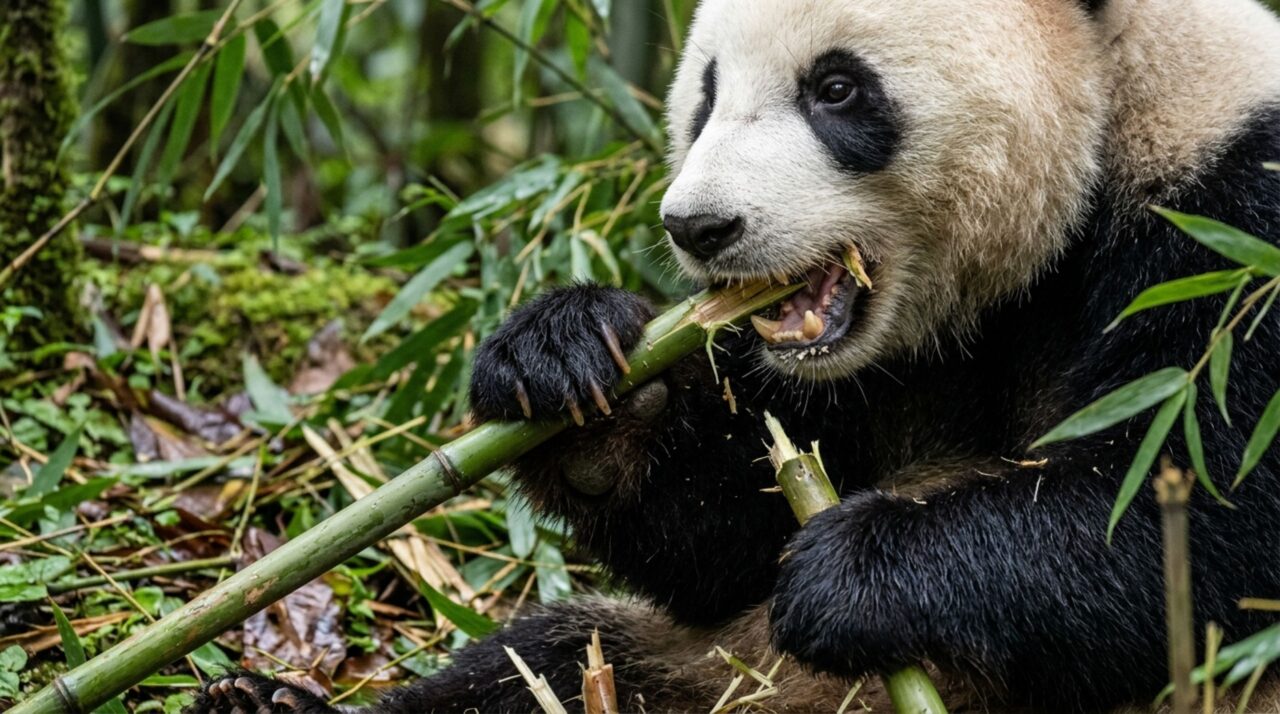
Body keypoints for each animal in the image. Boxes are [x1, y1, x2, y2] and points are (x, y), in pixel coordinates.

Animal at [195, 0, 1280, 711]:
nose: (700, 227)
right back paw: (260, 702)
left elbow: (1191, 524)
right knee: (535, 667)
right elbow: (728, 539)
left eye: (836, 87)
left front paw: (858, 574)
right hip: (705, 671)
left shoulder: (1233, 224)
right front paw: (566, 362)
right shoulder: (857, 378)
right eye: (706, 92)